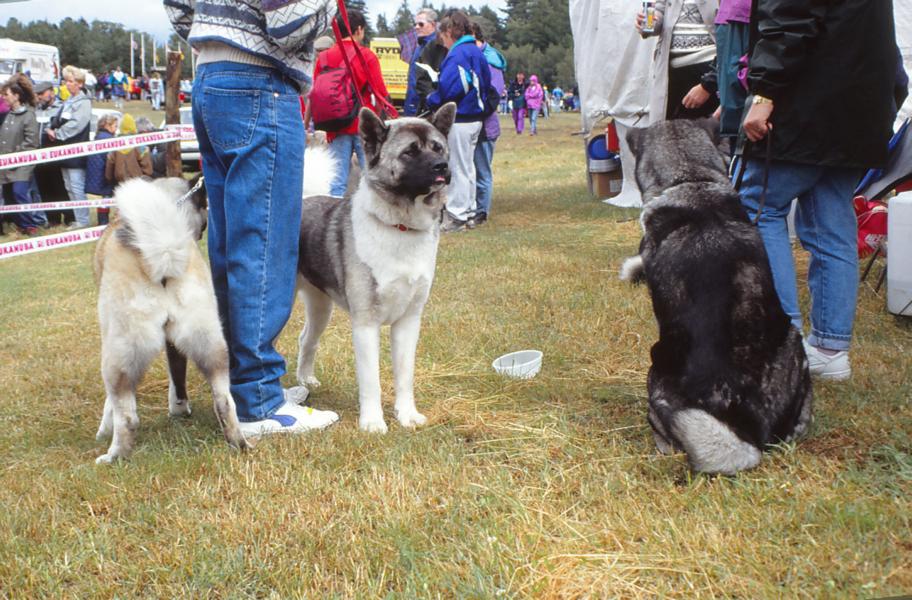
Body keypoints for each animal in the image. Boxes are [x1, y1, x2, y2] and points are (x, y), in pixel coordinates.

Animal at [93, 176, 249, 462]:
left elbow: (110, 405)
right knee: (224, 401)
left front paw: (102, 430)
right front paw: (179, 409)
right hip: (210, 344)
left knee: (127, 417)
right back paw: (239, 442)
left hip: (118, 356)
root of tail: (163, 249)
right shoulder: (174, 344)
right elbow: (177, 378)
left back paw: (114, 456)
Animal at [294, 102, 454, 432]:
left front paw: (407, 415)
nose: (442, 166)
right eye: (409, 152)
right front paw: (372, 423)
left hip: (320, 308)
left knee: (306, 339)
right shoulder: (365, 324)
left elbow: (404, 376)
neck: (401, 227)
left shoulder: (408, 321)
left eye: (438, 148)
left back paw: (306, 380)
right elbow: (371, 381)